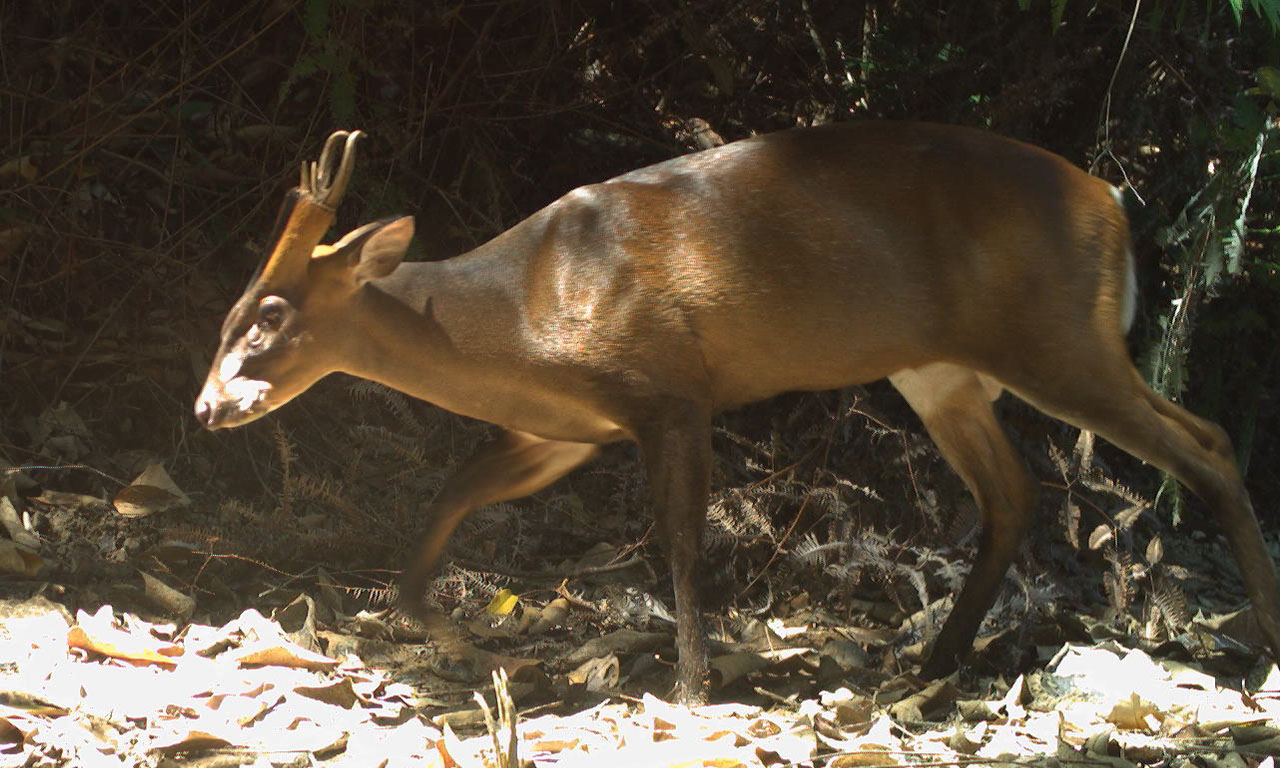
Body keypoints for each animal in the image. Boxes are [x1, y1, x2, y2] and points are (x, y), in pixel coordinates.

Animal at [195, 125, 1280, 705]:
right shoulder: (559, 428)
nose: (205, 407)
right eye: (226, 314)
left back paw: (1262, 636)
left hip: (1055, 338)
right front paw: (441, 630)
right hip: (943, 367)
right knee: (1017, 492)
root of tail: (1111, 206)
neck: (518, 317)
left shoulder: (668, 388)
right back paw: (931, 663)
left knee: (1209, 445)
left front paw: (689, 685)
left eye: (270, 316)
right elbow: (450, 495)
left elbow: (679, 540)